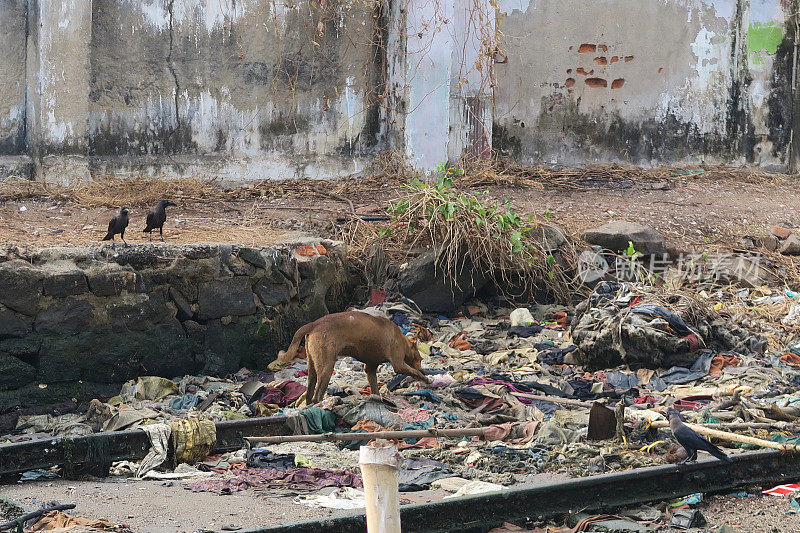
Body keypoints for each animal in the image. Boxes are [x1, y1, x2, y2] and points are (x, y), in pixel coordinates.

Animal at [272, 310, 432, 402]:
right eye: (420, 359)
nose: (425, 369)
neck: (403, 341)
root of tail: (314, 324)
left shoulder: (370, 368)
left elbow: (375, 388)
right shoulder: (398, 364)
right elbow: (414, 371)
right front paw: (426, 379)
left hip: (312, 367)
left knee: (309, 393)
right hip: (326, 368)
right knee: (318, 396)